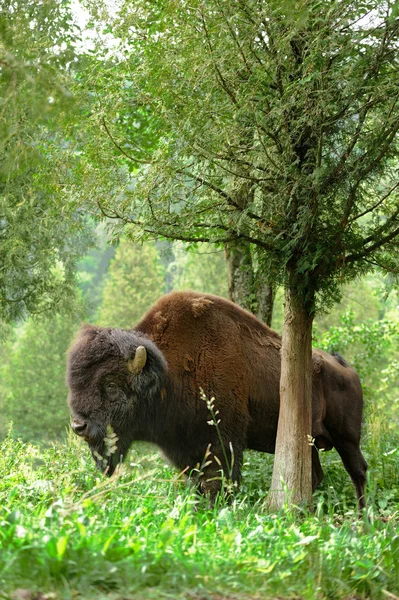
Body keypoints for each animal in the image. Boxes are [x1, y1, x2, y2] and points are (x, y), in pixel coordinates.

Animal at [66, 290, 368, 506]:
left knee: (358, 471)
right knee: (314, 476)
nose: (79, 426)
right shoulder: (184, 449)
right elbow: (197, 483)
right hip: (310, 443)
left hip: (347, 438)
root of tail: (347, 368)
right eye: (74, 385)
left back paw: (362, 518)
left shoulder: (222, 441)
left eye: (111, 384)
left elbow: (217, 482)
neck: (168, 372)